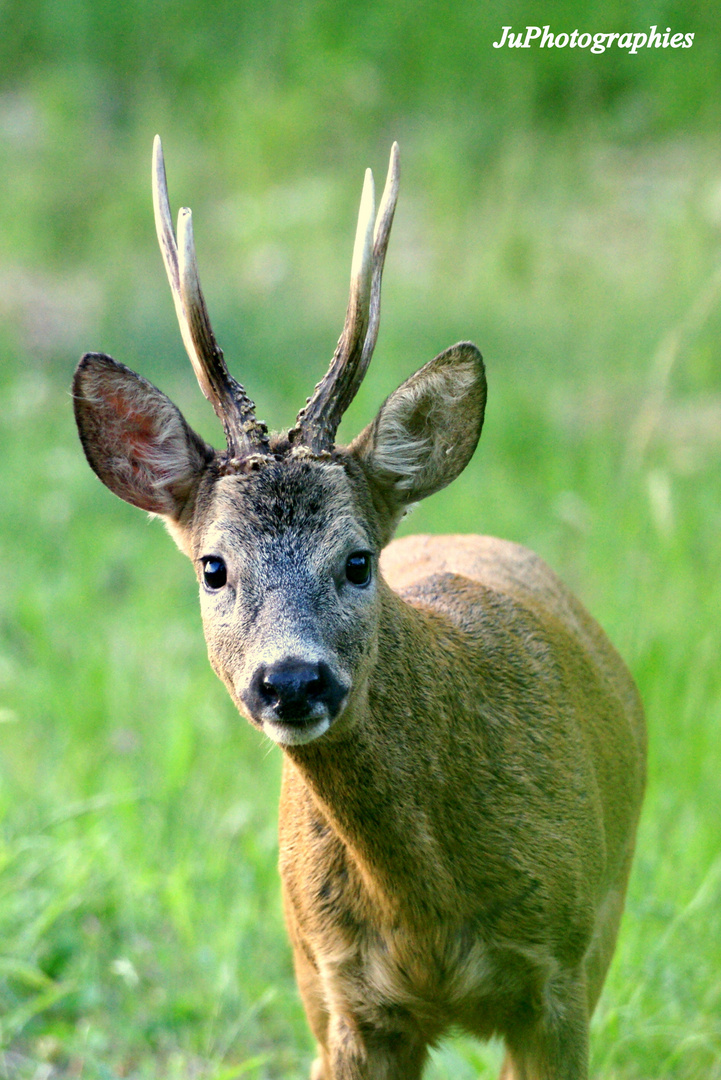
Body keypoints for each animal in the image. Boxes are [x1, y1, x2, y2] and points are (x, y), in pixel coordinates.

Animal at [74, 139, 647, 1075]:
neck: (424, 906)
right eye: (213, 567)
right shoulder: (337, 994)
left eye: (356, 561)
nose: (291, 680)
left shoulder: (563, 972)